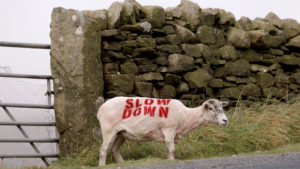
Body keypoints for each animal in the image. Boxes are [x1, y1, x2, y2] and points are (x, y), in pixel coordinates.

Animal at [97, 96, 229, 165]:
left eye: (221, 108)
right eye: (211, 108)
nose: (225, 120)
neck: (186, 116)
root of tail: (101, 108)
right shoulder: (169, 129)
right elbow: (171, 149)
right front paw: (171, 161)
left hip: (122, 133)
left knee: (115, 149)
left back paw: (122, 163)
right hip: (108, 130)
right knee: (103, 150)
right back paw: (102, 165)